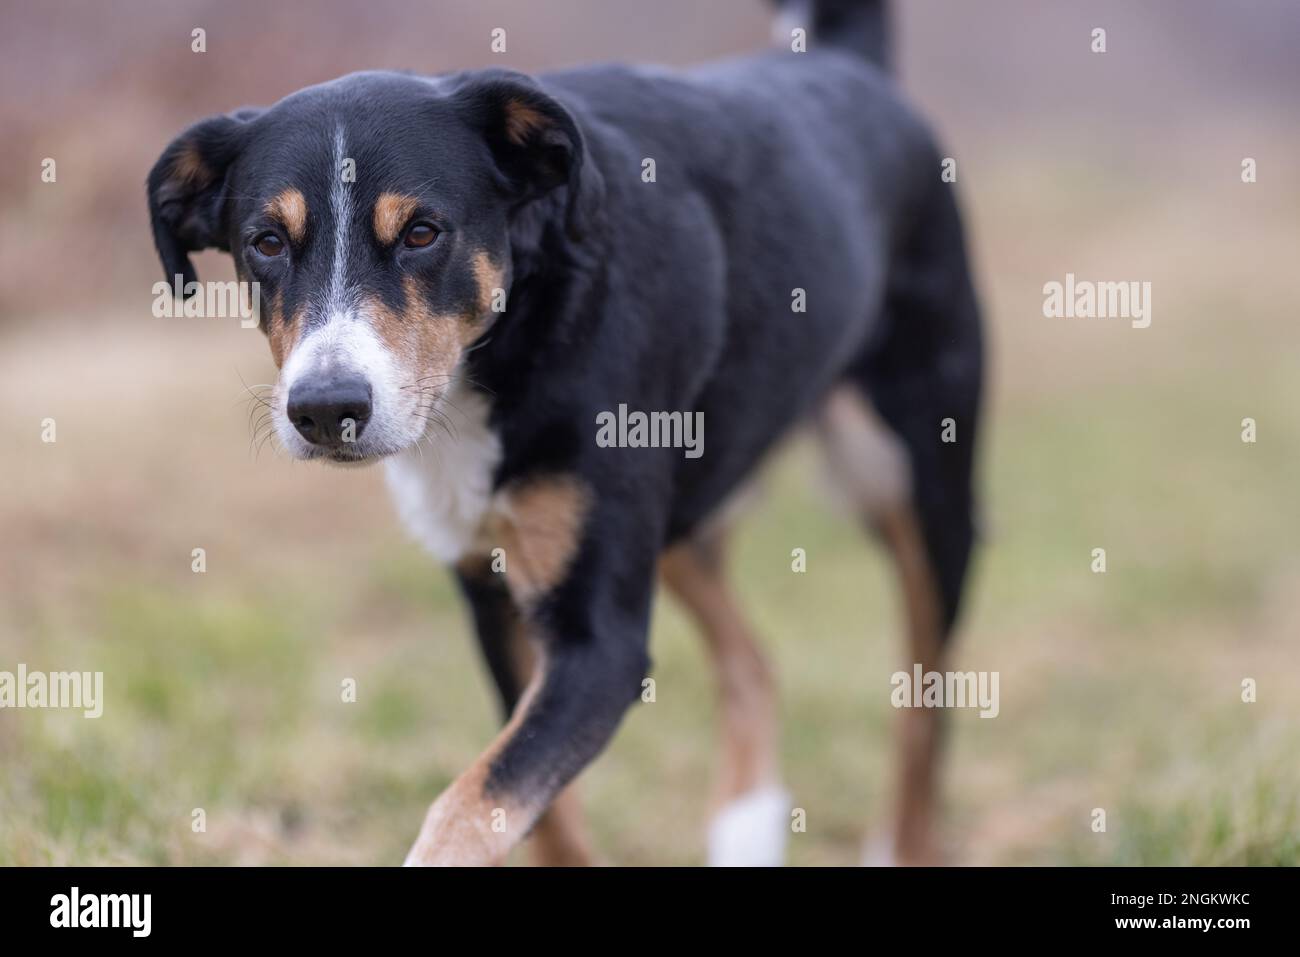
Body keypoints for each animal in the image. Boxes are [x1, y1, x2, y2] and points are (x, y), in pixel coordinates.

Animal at [147, 0, 982, 863]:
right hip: (681, 511)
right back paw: (745, 824)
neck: (515, 336)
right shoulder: (497, 597)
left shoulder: (598, 645)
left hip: (913, 483)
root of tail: (843, 61)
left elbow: (468, 805)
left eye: (422, 232)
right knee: (753, 660)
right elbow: (538, 814)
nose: (324, 407)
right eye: (266, 243)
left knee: (924, 703)